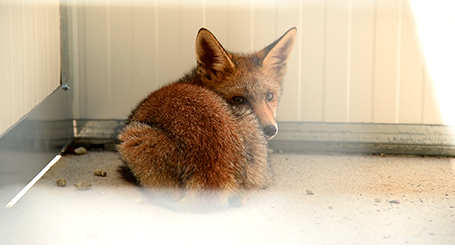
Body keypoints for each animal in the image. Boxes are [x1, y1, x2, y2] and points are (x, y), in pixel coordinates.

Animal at [116, 26, 298, 209]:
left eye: (269, 96)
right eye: (239, 99)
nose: (270, 129)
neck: (194, 82)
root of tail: (214, 167)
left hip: (130, 138)